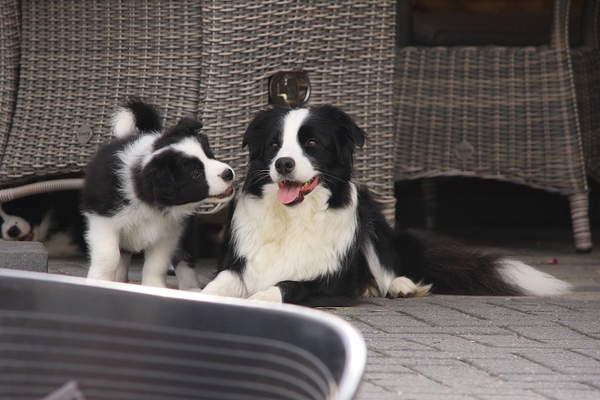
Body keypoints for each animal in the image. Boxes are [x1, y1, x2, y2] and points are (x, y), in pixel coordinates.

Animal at [81, 100, 234, 288]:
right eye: (196, 173)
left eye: (210, 155)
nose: (229, 173)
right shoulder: (101, 220)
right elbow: (108, 256)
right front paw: (98, 281)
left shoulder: (169, 233)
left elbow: (157, 263)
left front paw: (154, 287)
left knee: (184, 257)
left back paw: (190, 287)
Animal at [202, 105, 572, 306]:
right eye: (274, 145)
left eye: (312, 143)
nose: (283, 164)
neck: (292, 218)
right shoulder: (238, 264)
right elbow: (218, 282)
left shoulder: (329, 282)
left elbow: (286, 284)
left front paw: (261, 298)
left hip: (372, 221)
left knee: (388, 267)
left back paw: (399, 286)